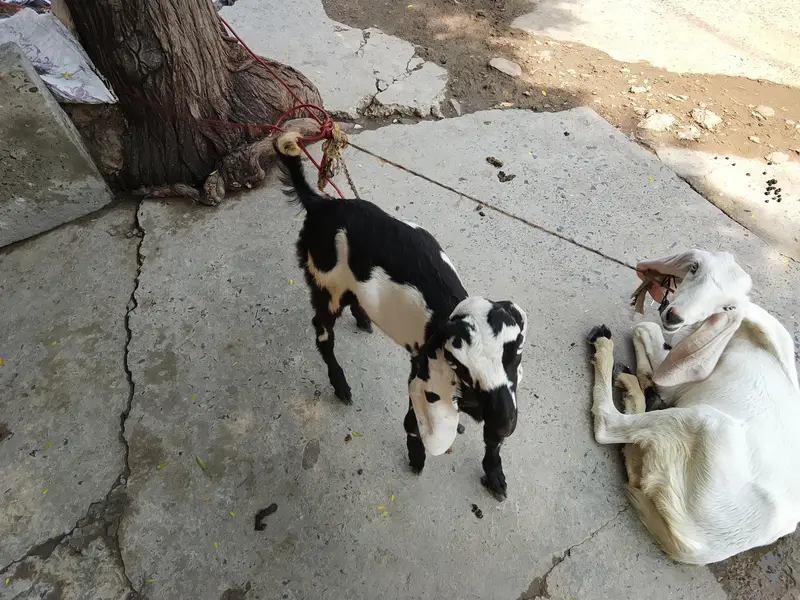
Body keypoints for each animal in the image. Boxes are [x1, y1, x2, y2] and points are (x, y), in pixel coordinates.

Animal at [275, 132, 527, 499]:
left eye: (515, 356)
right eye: (463, 370)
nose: (508, 424)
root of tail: (319, 204)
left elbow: (491, 441)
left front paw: (495, 474)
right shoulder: (421, 378)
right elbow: (412, 423)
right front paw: (417, 457)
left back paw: (364, 318)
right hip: (326, 284)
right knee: (323, 334)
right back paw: (341, 385)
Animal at [587, 249, 800, 564]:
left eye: (727, 307)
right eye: (694, 268)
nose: (674, 316)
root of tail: (699, 548)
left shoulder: (677, 379)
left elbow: (644, 329)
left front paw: (648, 374)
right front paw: (646, 378)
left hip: (704, 422)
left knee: (608, 425)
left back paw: (609, 354)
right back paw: (634, 389)